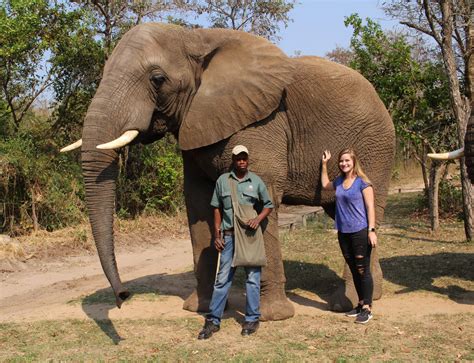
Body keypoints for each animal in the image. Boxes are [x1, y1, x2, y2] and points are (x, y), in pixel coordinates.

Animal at [63, 22, 396, 318]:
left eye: (157, 78)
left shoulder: (263, 123)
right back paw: (367, 297)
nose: (123, 296)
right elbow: (198, 202)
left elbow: (262, 200)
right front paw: (198, 309)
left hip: (375, 148)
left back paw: (348, 302)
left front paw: (271, 316)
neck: (193, 38)